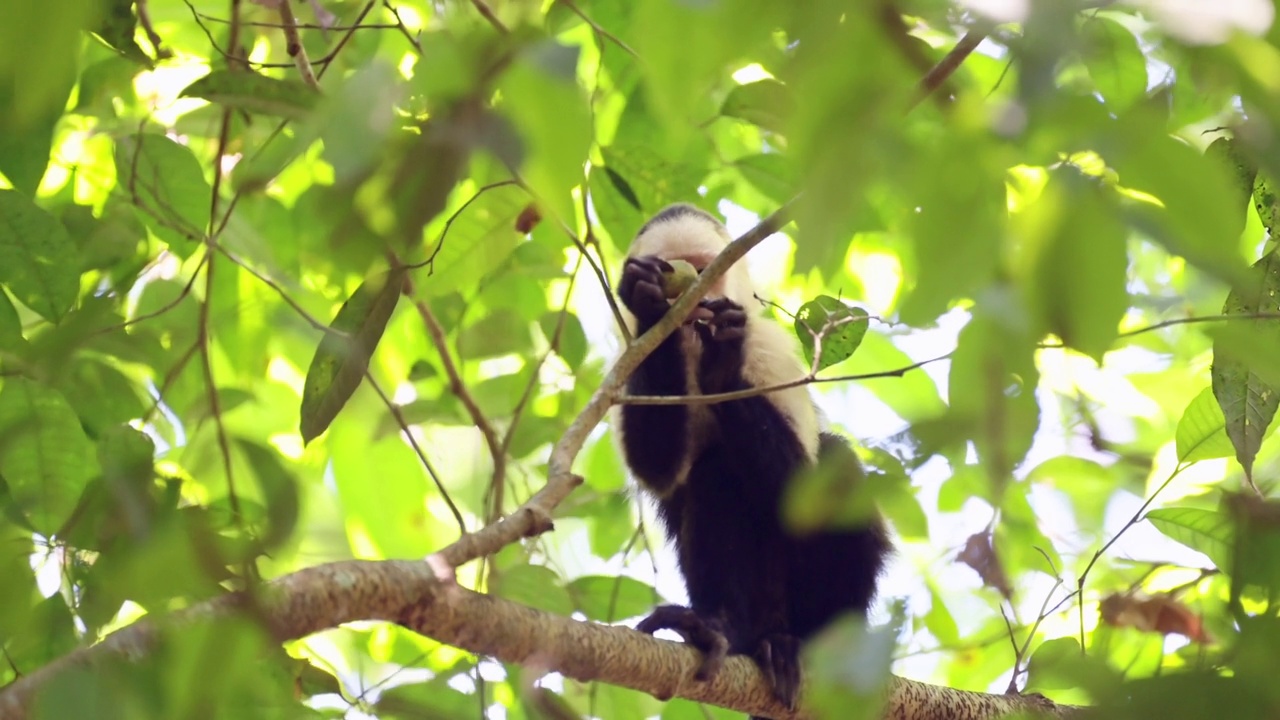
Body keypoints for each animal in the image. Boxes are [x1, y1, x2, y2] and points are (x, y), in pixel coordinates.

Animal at [609, 203, 890, 717]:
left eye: (706, 270)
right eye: (675, 268)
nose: (697, 300)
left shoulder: (767, 347)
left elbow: (802, 495)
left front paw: (722, 362)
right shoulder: (628, 353)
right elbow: (658, 468)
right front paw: (647, 300)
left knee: (833, 462)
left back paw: (810, 645)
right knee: (713, 476)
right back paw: (724, 633)